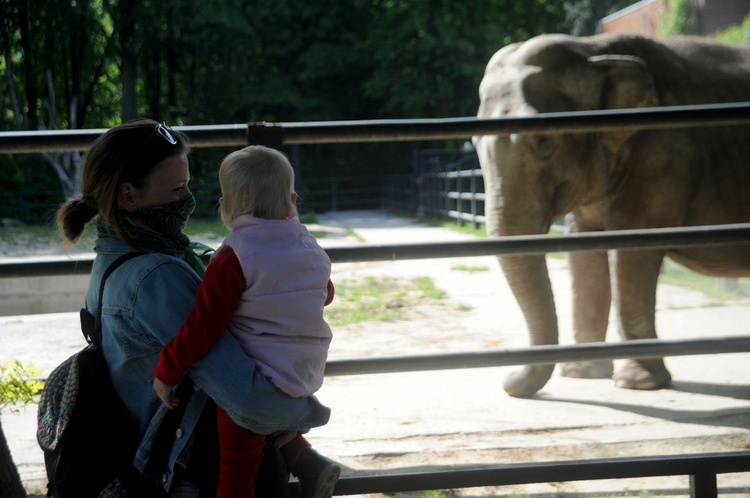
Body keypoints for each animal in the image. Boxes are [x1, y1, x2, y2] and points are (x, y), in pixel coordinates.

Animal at [476, 32, 750, 396]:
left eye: (543, 140)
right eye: (474, 142)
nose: (506, 380)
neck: (593, 49)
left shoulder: (663, 159)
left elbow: (632, 253)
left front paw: (638, 384)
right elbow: (583, 250)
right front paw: (582, 373)